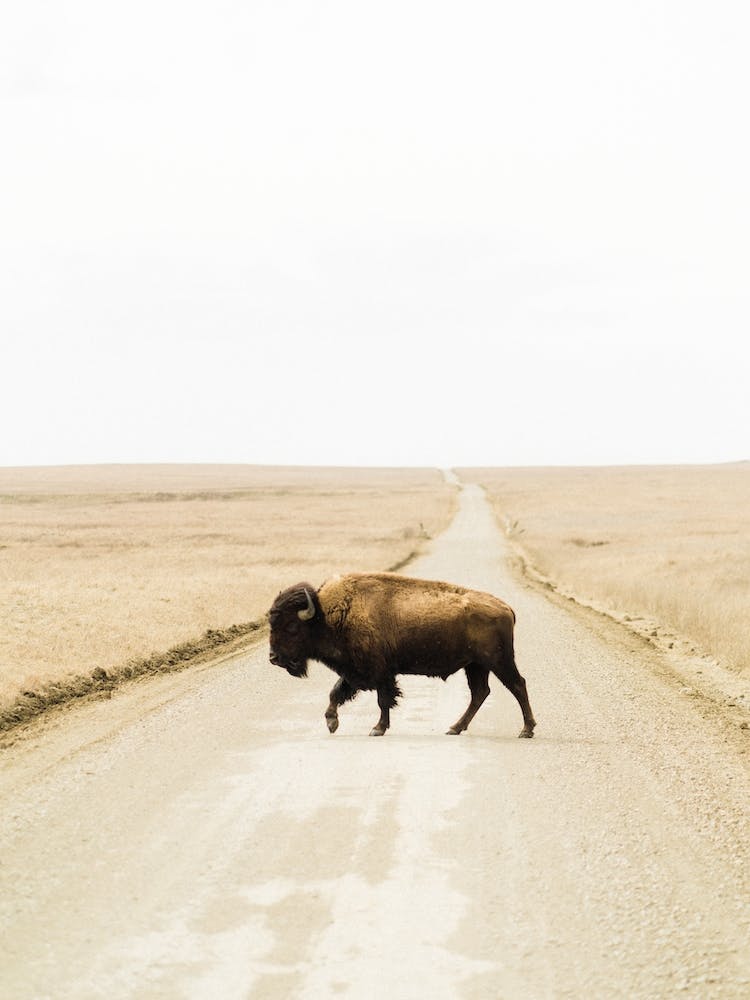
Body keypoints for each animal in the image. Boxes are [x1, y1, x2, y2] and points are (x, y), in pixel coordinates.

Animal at [268, 572, 536, 738]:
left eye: (291, 626)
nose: (273, 658)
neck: (327, 615)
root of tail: (506, 608)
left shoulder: (379, 672)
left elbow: (383, 700)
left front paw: (377, 729)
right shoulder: (355, 671)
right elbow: (336, 692)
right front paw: (332, 723)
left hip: (498, 662)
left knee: (517, 685)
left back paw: (526, 730)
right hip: (476, 666)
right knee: (480, 693)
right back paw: (454, 728)